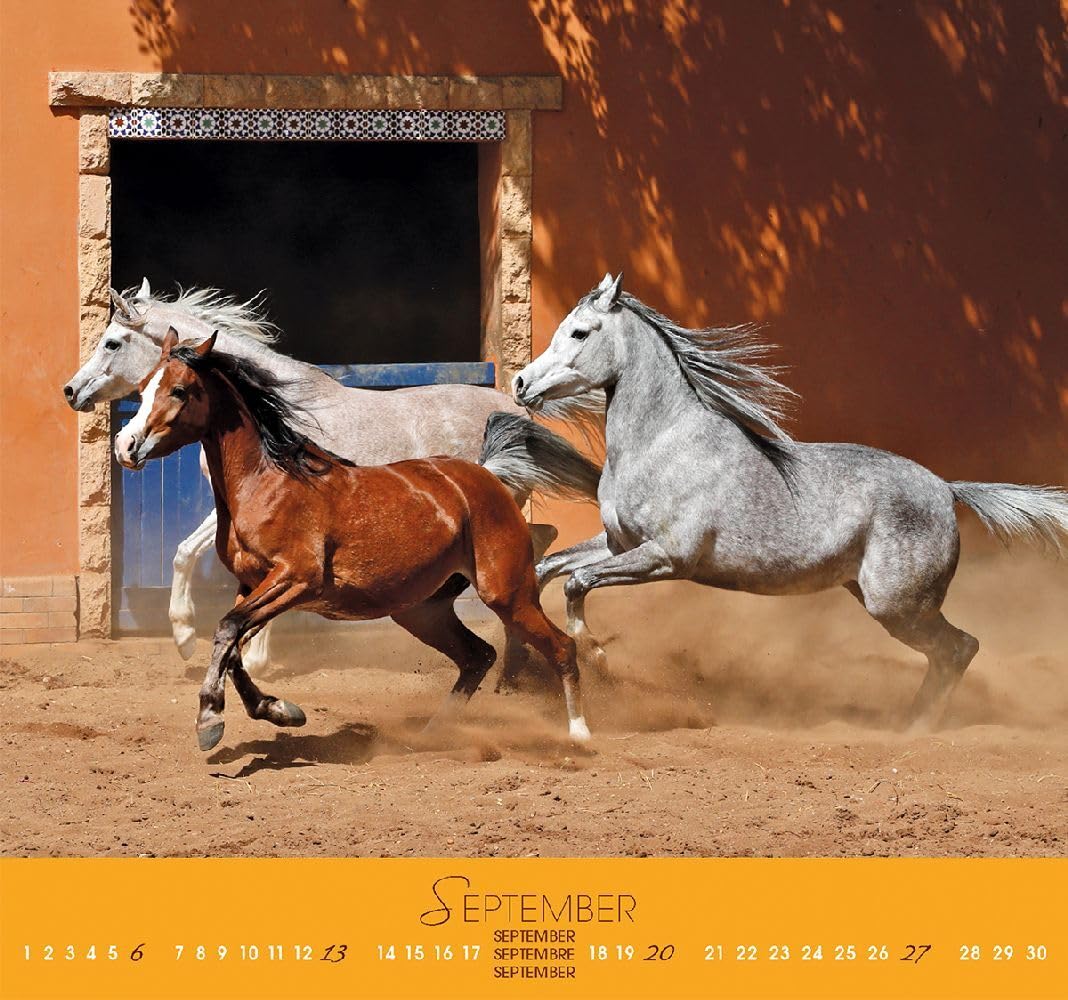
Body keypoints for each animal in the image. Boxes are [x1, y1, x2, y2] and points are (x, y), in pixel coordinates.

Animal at [63, 278, 600, 673]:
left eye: (112, 342)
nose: (71, 391)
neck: (275, 409)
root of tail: (517, 407)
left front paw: (254, 657)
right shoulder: (235, 508)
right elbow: (183, 552)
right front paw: (182, 638)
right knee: (540, 541)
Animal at [113, 329, 596, 751]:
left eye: (179, 390)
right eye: (142, 386)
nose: (126, 446)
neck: (267, 481)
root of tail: (487, 475)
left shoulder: (296, 579)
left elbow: (228, 630)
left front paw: (210, 719)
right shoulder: (252, 584)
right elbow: (232, 646)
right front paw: (278, 710)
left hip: (506, 593)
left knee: (560, 647)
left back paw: (578, 733)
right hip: (421, 610)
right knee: (477, 656)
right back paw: (433, 734)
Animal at [512, 273, 1068, 731]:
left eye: (580, 333)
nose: (520, 383)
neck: (663, 442)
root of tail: (948, 489)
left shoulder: (667, 557)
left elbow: (578, 584)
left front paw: (596, 652)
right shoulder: (618, 543)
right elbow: (548, 570)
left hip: (898, 605)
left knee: (959, 649)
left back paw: (915, 729)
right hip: (878, 598)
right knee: (951, 652)